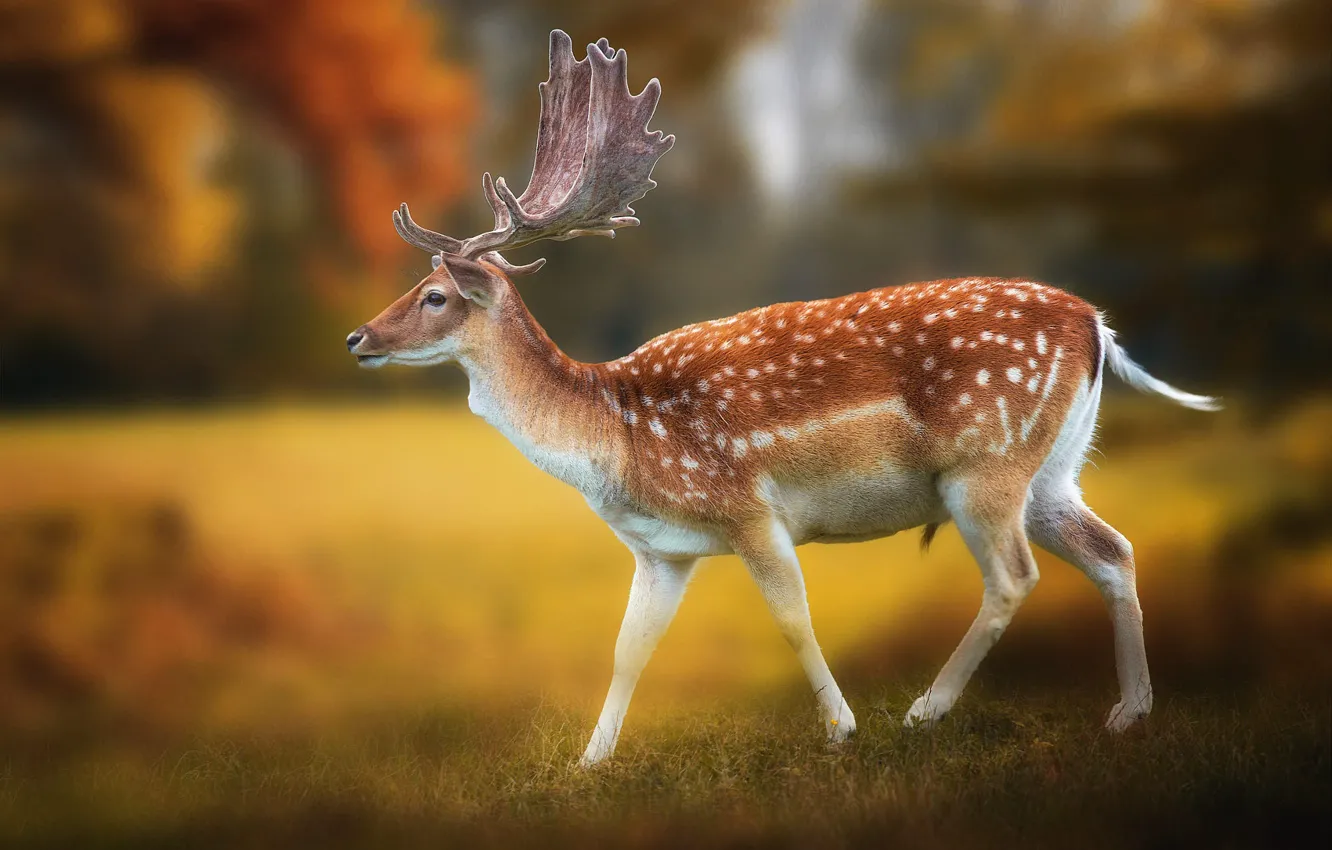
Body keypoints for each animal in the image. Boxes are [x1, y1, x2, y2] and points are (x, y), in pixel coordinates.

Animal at [345, 30, 1219, 767]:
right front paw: (590, 762)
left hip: (986, 462)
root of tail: (1095, 324)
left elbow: (792, 616)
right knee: (1113, 550)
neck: (618, 438)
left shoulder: (748, 506)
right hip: (1053, 470)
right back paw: (1129, 711)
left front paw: (842, 727)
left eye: (434, 295)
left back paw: (926, 711)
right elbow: (630, 647)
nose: (357, 338)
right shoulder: (661, 551)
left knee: (1013, 577)